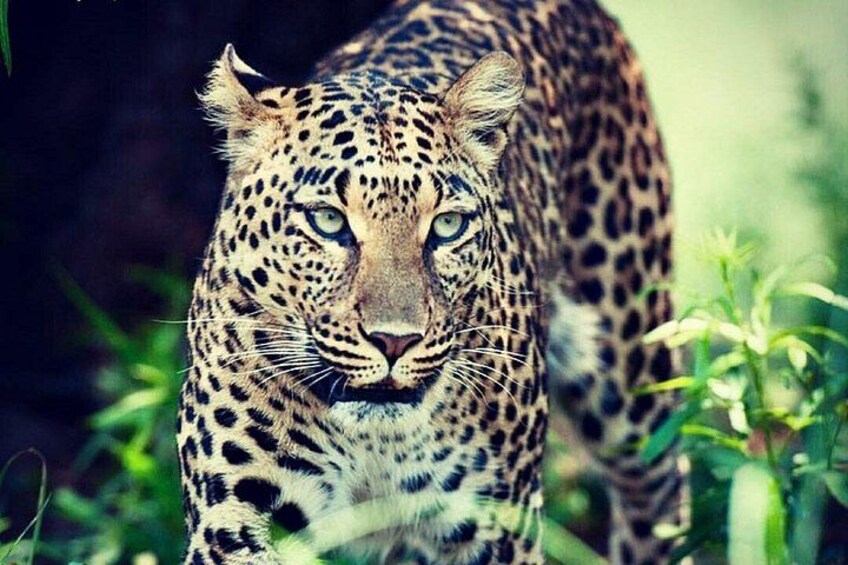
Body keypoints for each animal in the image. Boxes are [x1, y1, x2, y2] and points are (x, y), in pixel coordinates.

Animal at [176, 0, 681, 563]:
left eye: (447, 226)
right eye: (328, 221)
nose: (394, 341)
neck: (374, 442)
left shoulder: (500, 525)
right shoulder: (235, 516)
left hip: (631, 376)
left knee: (660, 489)